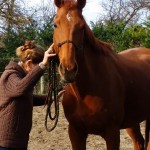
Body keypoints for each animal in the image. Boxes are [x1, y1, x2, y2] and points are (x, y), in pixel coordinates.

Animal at [51, 0, 150, 149]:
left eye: (82, 27)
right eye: (55, 25)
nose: (68, 69)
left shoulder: (112, 133)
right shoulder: (75, 132)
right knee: (139, 142)